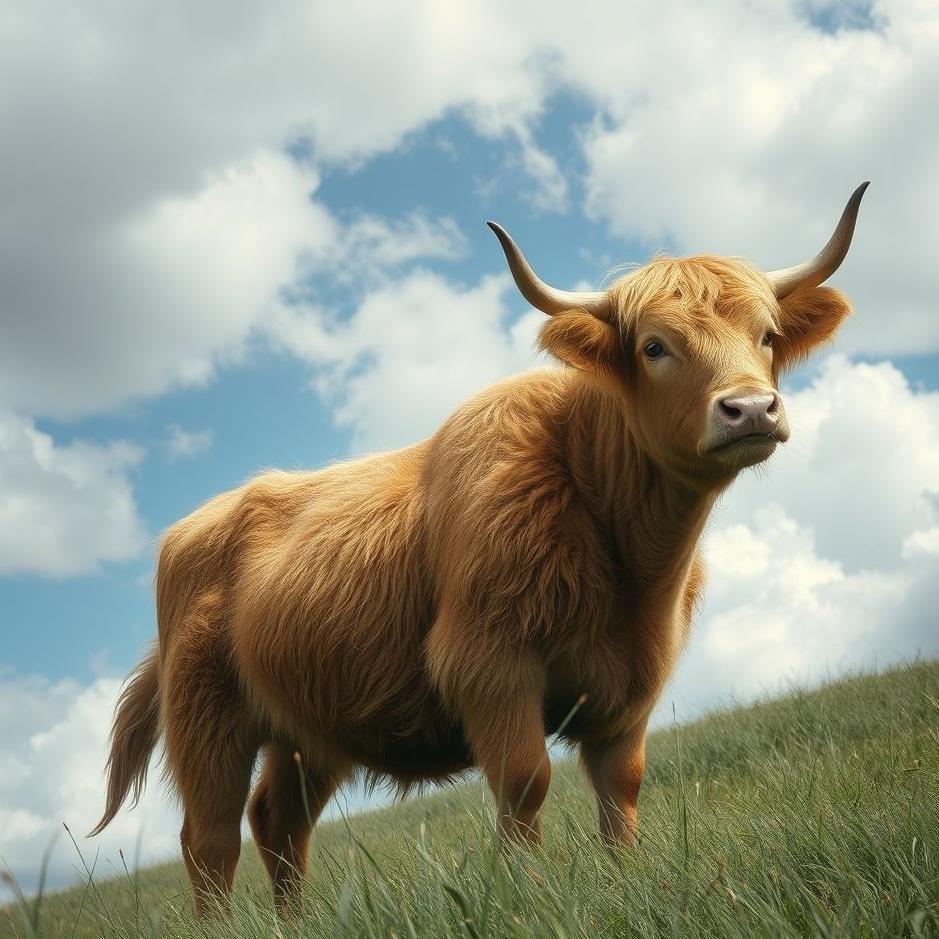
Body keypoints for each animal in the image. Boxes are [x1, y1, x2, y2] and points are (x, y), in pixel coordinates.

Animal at [92, 183, 868, 917]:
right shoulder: (489, 663)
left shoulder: (630, 684)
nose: (750, 409)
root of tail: (195, 523)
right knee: (210, 838)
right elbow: (525, 783)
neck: (627, 558)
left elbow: (621, 789)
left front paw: (625, 877)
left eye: (766, 335)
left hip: (306, 725)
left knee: (278, 821)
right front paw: (532, 894)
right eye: (654, 346)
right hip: (207, 717)